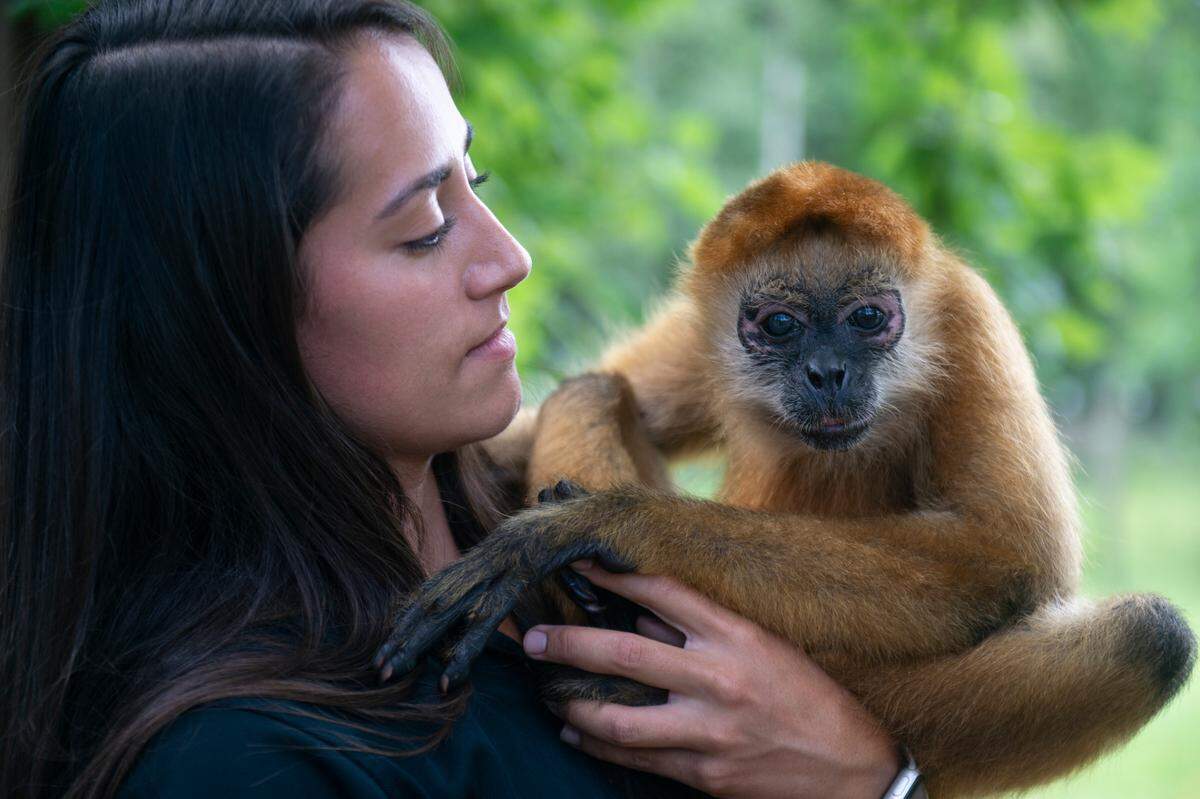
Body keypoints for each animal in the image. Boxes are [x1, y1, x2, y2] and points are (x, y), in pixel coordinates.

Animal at [374, 162, 1196, 797]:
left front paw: (600, 524)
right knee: (592, 390)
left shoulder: (967, 315)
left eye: (867, 318)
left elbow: (1007, 553)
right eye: (779, 326)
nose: (828, 371)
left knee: (1152, 635)